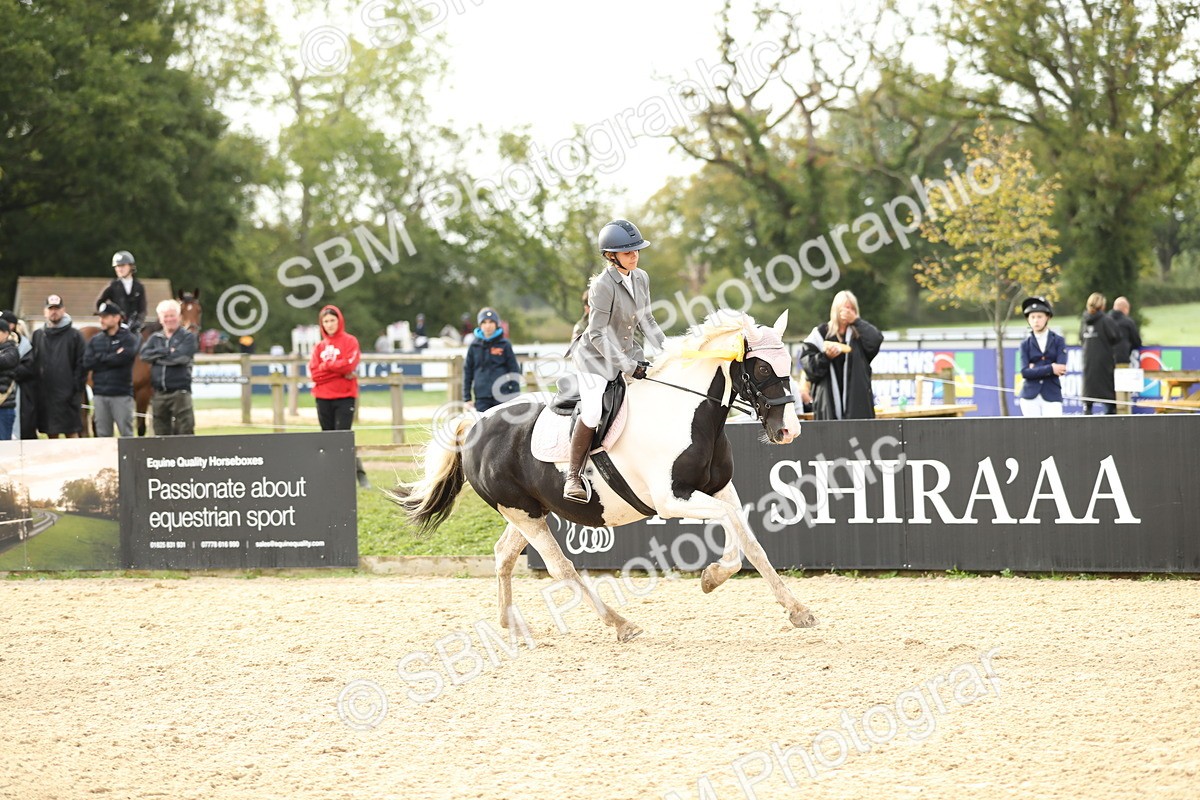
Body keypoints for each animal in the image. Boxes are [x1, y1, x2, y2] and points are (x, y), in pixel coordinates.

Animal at [79, 289, 203, 436]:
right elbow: (141, 427)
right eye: (181, 311)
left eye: (199, 310)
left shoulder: (154, 396)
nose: (193, 334)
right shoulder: (142, 393)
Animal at [393, 310, 817, 642]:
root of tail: (477, 423)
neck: (688, 412)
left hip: (528, 513)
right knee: (560, 567)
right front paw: (712, 577)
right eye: (760, 367)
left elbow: (751, 543)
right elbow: (731, 527)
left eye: (789, 364)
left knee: (503, 556)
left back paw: (511, 626)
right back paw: (619, 623)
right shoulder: (672, 498)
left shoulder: (720, 489)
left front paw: (796, 609)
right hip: (524, 514)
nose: (789, 431)